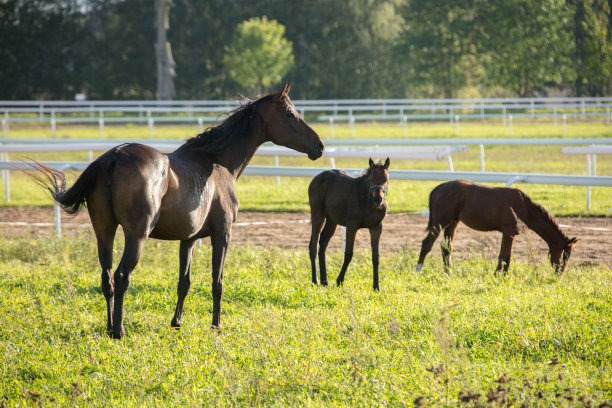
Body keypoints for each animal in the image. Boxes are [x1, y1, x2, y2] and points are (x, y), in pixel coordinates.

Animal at [28, 83, 326, 338]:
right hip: (136, 236)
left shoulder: (188, 240)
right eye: (290, 114)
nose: (320, 146)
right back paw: (119, 331)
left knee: (107, 278)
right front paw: (216, 325)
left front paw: (177, 321)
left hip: (104, 232)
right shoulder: (222, 235)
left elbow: (184, 282)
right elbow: (217, 282)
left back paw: (110, 326)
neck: (217, 164)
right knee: (122, 276)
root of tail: (113, 157)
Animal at [308, 158, 390, 292]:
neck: (368, 201)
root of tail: (317, 177)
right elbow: (348, 254)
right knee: (313, 245)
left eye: (386, 179)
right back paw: (315, 281)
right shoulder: (352, 226)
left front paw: (376, 287)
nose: (378, 199)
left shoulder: (376, 227)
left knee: (323, 244)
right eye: (372, 179)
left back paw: (325, 281)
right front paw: (339, 281)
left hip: (332, 220)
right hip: (317, 214)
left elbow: (375, 257)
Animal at [416, 180, 580, 276]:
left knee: (446, 248)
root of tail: (438, 189)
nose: (558, 276)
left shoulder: (509, 234)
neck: (524, 207)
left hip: (452, 223)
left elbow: (505, 256)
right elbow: (505, 256)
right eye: (565, 256)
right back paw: (418, 270)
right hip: (440, 222)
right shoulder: (508, 232)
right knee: (427, 244)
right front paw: (499, 276)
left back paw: (448, 273)